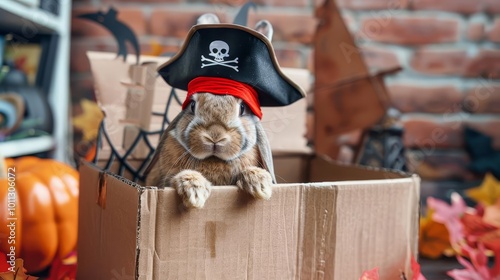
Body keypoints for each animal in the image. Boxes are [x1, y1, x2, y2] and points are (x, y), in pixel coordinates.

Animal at [146, 93, 276, 209]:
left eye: (242, 108)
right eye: (192, 105)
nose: (215, 136)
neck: (213, 159)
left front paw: (260, 184)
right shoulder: (164, 181)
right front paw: (195, 191)